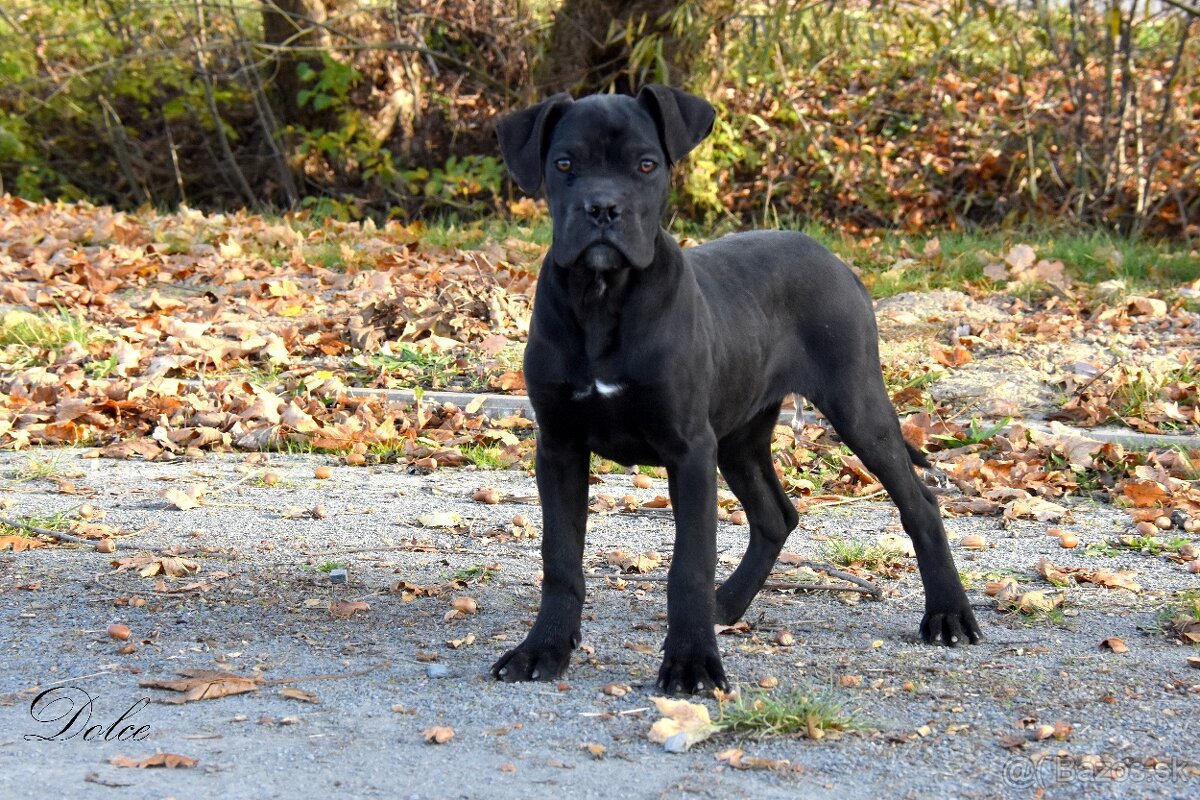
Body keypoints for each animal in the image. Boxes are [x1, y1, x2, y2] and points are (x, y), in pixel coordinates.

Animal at [489, 82, 984, 695]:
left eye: (646, 165)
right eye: (563, 165)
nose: (602, 208)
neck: (603, 298)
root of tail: (836, 260)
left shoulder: (689, 450)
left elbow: (689, 563)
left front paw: (690, 662)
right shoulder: (559, 445)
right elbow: (560, 558)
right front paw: (544, 649)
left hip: (856, 405)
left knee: (920, 503)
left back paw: (949, 614)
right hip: (740, 434)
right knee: (777, 515)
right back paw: (727, 604)